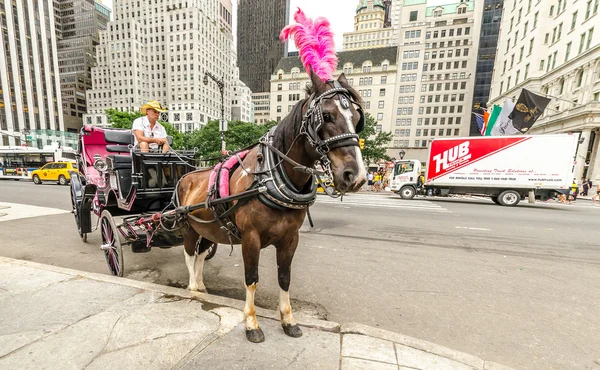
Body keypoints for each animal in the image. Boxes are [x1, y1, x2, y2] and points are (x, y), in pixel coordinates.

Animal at [176, 70, 368, 344]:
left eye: (357, 117)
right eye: (327, 116)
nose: (357, 176)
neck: (269, 178)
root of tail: (187, 176)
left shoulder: (290, 238)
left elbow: (284, 277)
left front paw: (288, 320)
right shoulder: (251, 238)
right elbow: (251, 278)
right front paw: (251, 323)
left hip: (208, 229)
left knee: (200, 255)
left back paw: (201, 286)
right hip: (189, 227)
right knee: (189, 255)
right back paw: (193, 288)